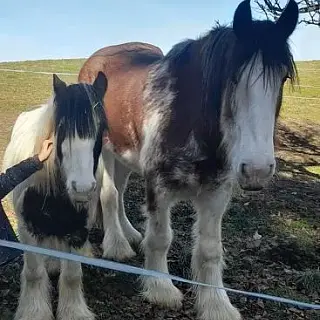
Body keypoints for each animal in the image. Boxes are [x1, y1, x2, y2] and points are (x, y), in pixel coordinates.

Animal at [79, 1, 298, 318]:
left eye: (283, 77)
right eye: (233, 76)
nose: (257, 170)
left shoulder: (216, 192)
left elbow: (210, 250)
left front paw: (217, 305)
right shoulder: (158, 185)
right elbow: (160, 238)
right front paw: (160, 289)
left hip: (125, 156)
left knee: (118, 193)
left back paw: (130, 234)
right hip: (104, 151)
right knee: (108, 194)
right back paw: (117, 246)